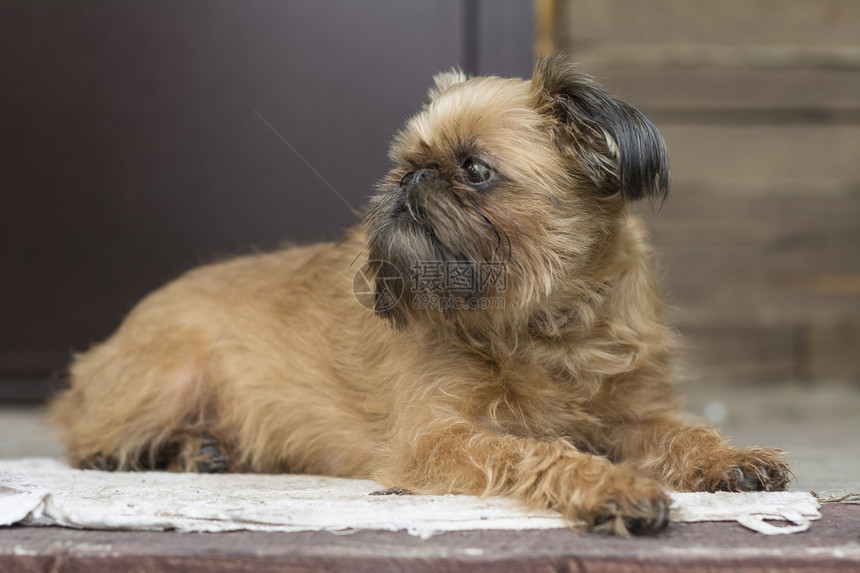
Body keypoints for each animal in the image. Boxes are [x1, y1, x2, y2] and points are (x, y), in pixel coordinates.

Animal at [45, 55, 788, 536]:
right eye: (403, 164)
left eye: (475, 169)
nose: (408, 182)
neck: (546, 321)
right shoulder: (443, 440)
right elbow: (539, 451)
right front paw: (612, 486)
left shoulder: (632, 415)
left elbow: (679, 429)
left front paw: (730, 458)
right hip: (169, 375)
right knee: (83, 434)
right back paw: (149, 453)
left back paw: (203, 452)